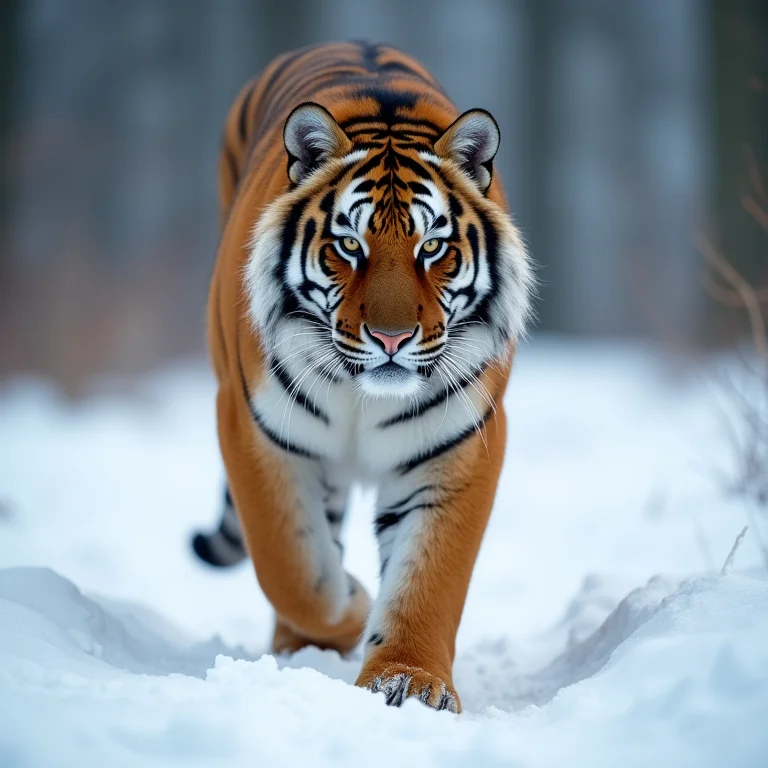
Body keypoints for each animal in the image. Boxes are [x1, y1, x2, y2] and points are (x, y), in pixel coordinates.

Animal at [192, 41, 533, 713]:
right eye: (349, 246)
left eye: (433, 247)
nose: (392, 339)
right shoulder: (252, 428)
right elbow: (292, 567)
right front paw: (350, 606)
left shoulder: (459, 444)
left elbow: (429, 578)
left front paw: (410, 680)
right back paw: (301, 647)